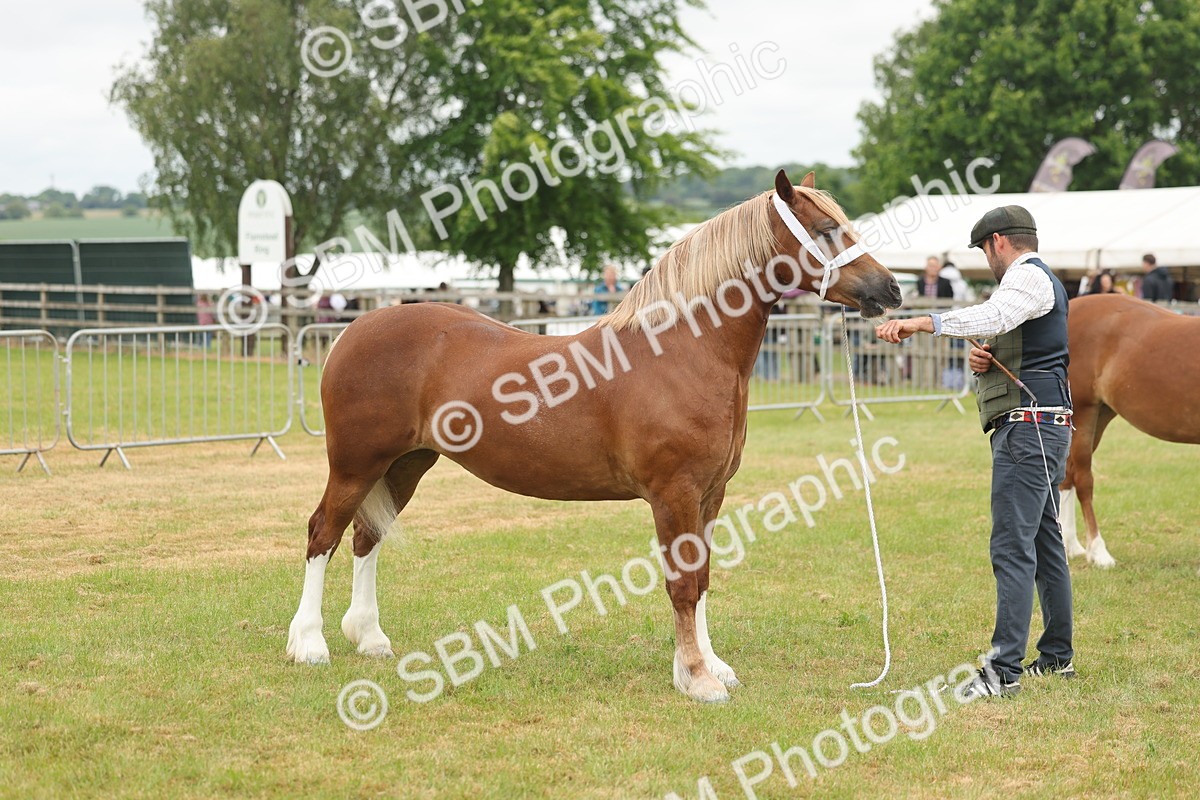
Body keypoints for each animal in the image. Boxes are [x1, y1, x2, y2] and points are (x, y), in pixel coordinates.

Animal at [285, 169, 902, 702]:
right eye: (825, 230)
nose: (891, 289)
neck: (682, 350)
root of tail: (352, 332)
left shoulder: (710, 494)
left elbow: (702, 578)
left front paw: (711, 666)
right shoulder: (674, 493)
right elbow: (682, 583)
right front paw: (697, 679)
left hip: (405, 464)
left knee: (366, 537)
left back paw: (370, 638)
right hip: (356, 465)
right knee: (323, 534)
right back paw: (309, 645)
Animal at [1058, 293, 1200, 567]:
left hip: (1099, 415)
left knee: (1066, 475)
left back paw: (1070, 546)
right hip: (1083, 411)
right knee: (1082, 479)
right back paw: (1098, 552)